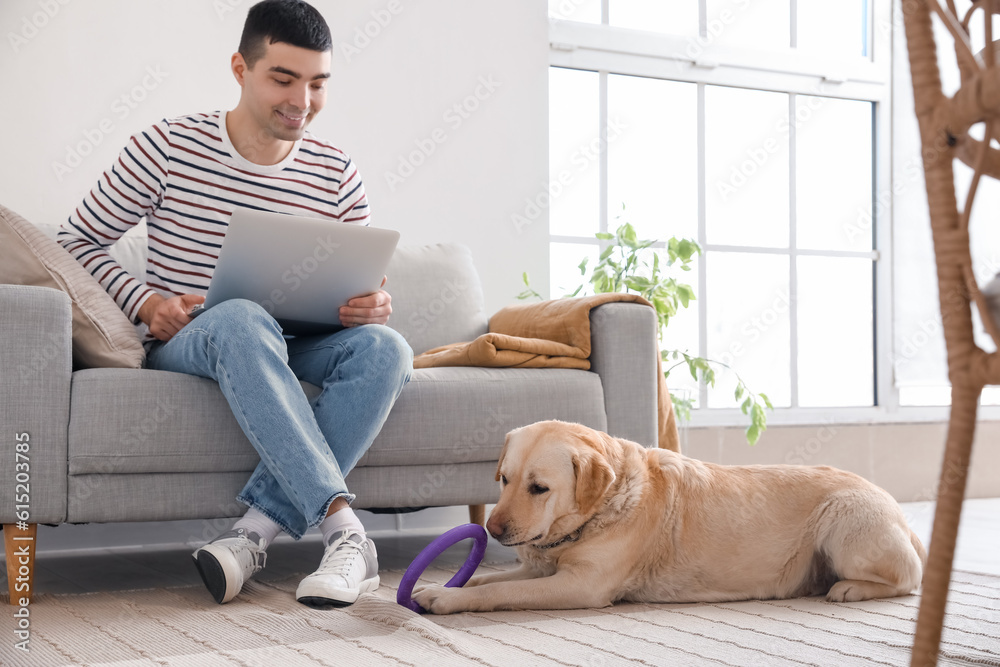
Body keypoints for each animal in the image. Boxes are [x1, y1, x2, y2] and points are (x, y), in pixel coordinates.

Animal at [410, 422, 924, 616]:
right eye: (504, 479)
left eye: (539, 487)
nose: (492, 529)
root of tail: (901, 515)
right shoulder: (541, 567)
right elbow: (485, 579)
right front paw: (441, 584)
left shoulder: (581, 586)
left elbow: (495, 592)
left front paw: (444, 597)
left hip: (844, 521)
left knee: (909, 579)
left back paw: (850, 588)